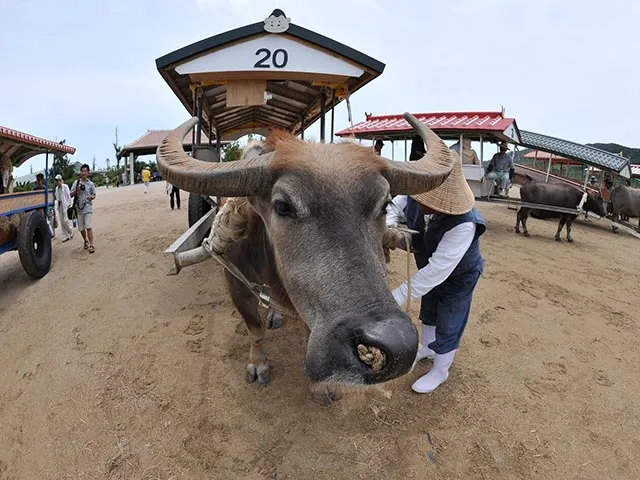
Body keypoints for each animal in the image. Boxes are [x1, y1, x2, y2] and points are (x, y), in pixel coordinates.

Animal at [155, 113, 456, 404]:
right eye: (283, 206)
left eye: (385, 204)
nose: (396, 343)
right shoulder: (235, 283)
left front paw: (321, 386)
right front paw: (258, 364)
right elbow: (255, 330)